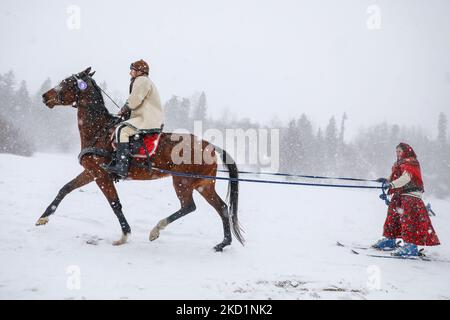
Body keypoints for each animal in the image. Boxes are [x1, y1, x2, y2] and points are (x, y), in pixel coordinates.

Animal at [36, 67, 244, 251]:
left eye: (66, 82)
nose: (45, 96)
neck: (99, 130)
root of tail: (210, 145)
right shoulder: (91, 172)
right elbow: (65, 189)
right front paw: (43, 218)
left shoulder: (101, 175)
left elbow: (115, 204)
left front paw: (124, 235)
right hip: (203, 184)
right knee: (222, 208)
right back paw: (223, 243)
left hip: (182, 182)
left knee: (189, 206)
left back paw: (156, 230)